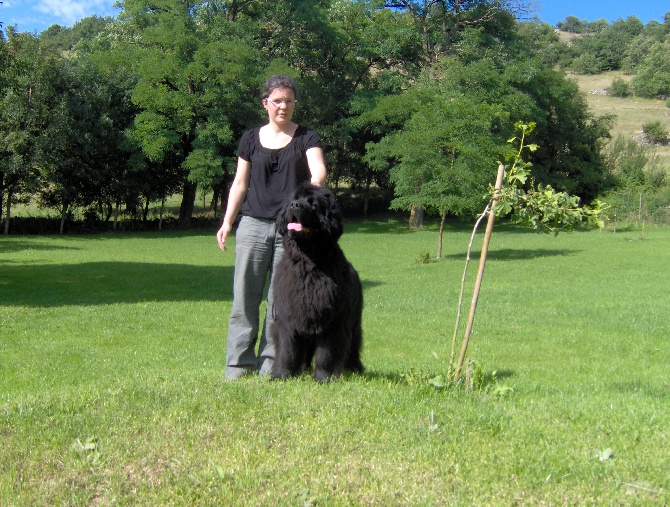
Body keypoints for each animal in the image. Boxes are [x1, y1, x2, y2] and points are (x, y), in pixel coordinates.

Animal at [270, 184, 364, 380]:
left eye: (313, 204)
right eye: (294, 199)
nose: (295, 205)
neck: (308, 264)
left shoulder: (333, 319)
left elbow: (327, 353)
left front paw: (323, 377)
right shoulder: (288, 316)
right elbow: (286, 349)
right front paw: (282, 374)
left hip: (354, 322)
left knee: (353, 345)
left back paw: (354, 369)